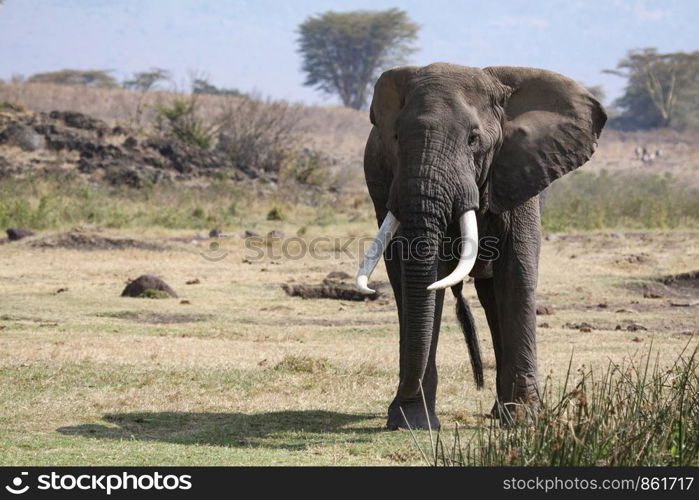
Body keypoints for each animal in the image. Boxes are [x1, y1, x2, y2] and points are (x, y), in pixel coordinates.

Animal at [356, 62, 608, 430]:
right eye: (397, 138)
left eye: (473, 139)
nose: (402, 408)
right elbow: (413, 278)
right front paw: (411, 422)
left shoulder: (520, 170)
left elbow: (516, 273)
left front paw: (525, 420)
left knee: (493, 295)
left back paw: (503, 414)